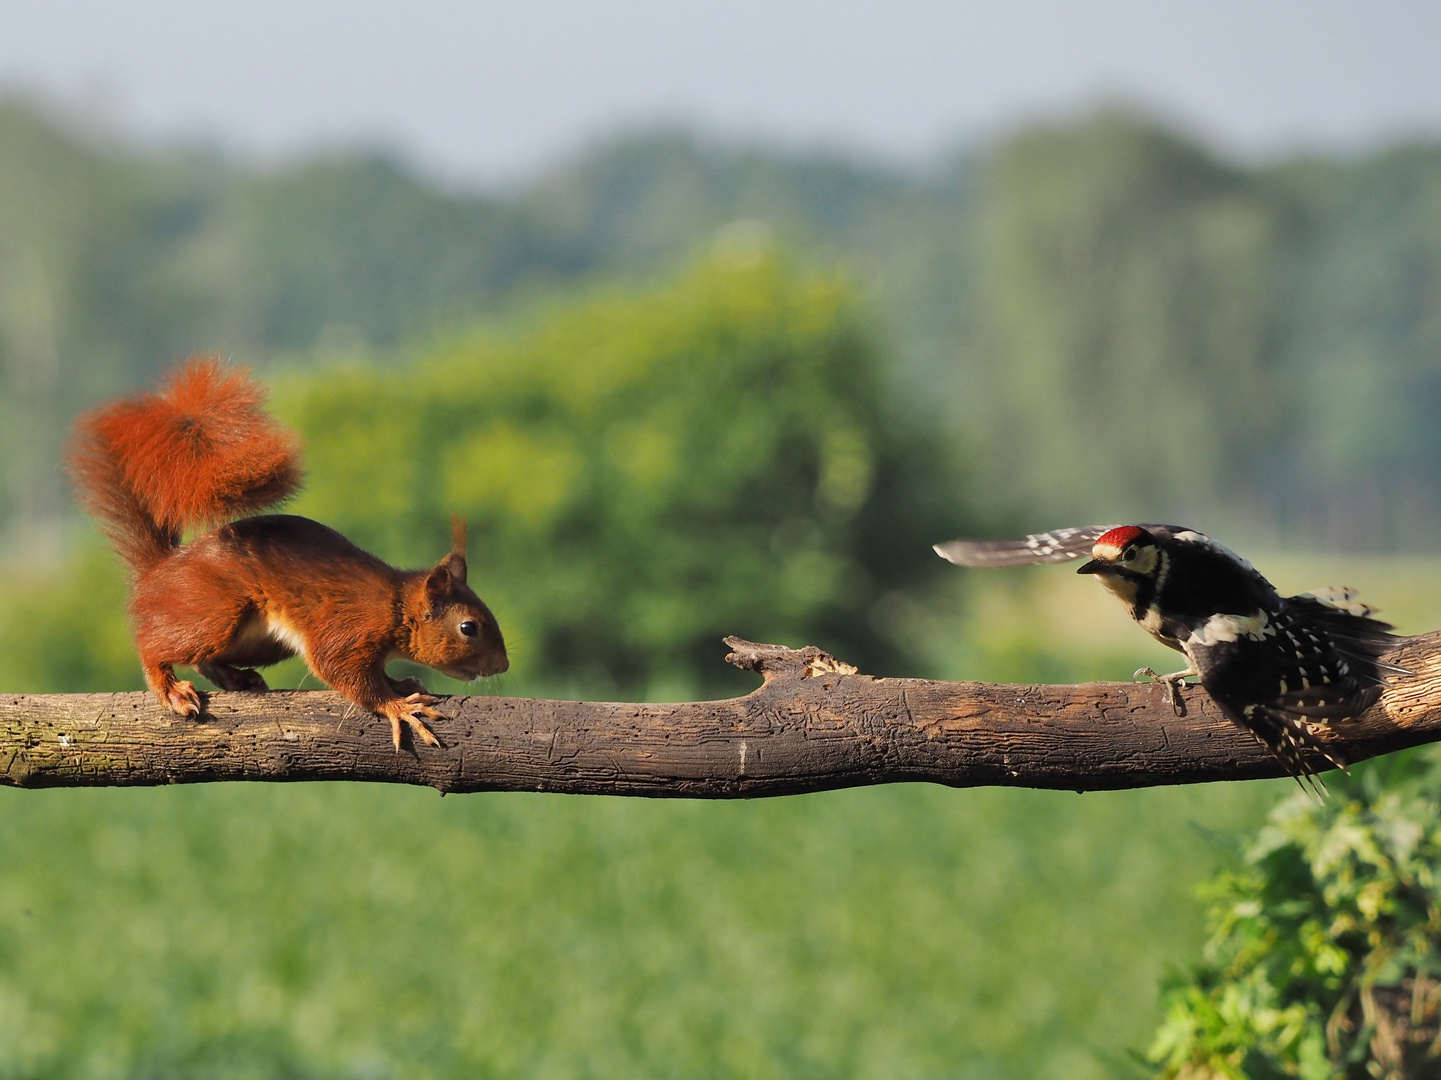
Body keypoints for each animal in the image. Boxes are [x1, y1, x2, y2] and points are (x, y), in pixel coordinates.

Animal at [64, 357, 510, 744]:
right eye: (468, 627)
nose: (502, 666)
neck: (394, 605)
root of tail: (162, 570)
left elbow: (378, 674)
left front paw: (401, 683)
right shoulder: (347, 628)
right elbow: (345, 674)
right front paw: (397, 706)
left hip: (260, 642)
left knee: (206, 658)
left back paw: (237, 678)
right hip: (214, 612)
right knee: (154, 646)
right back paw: (170, 688)